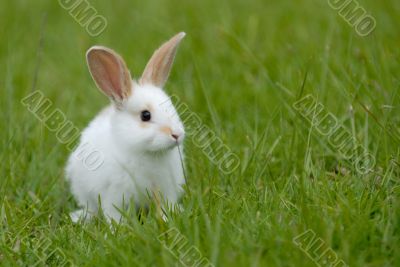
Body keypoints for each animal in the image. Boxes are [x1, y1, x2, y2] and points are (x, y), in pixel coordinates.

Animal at [65, 32, 187, 223]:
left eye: (172, 106)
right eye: (145, 115)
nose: (177, 135)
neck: (146, 153)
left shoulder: (166, 188)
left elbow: (165, 206)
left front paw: (168, 218)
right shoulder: (114, 194)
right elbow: (114, 213)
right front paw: (118, 227)